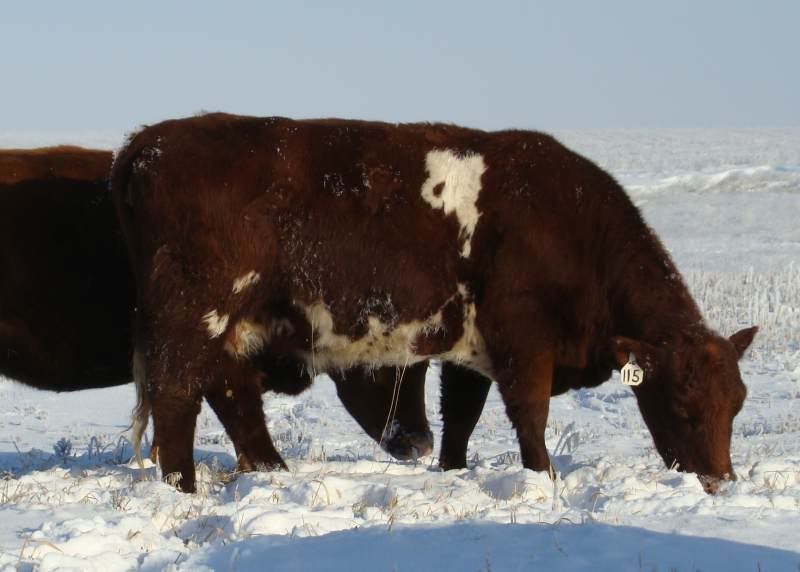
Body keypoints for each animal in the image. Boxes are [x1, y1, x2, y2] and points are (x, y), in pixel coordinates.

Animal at [112, 113, 757, 494]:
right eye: (682, 404)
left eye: (737, 403)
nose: (720, 480)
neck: (567, 225)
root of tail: (148, 141)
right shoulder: (524, 344)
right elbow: (530, 417)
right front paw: (543, 480)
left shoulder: (471, 352)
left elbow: (461, 417)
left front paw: (452, 471)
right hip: (191, 317)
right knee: (177, 398)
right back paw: (183, 487)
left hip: (229, 327)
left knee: (228, 390)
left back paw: (269, 472)